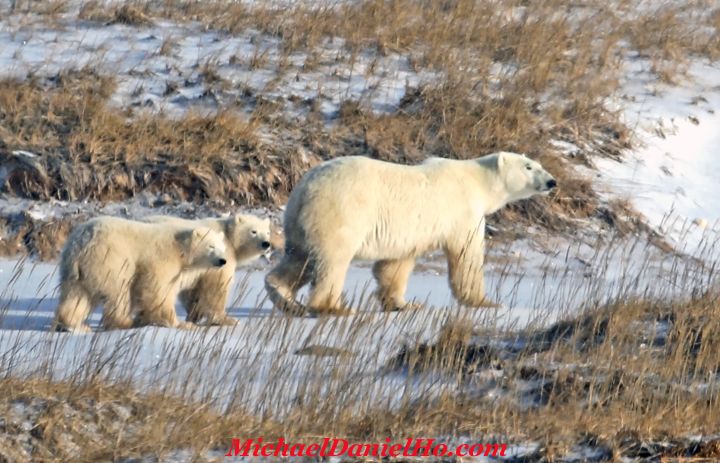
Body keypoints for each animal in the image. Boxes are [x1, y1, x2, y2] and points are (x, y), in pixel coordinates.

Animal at [264, 152, 556, 316]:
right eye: (529, 167)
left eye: (538, 164)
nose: (552, 181)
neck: (478, 180)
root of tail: (305, 186)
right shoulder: (462, 213)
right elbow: (466, 256)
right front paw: (486, 303)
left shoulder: (407, 233)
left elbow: (395, 264)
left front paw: (403, 304)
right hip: (341, 212)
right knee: (332, 260)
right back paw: (333, 308)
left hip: (301, 223)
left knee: (298, 258)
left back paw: (286, 299)